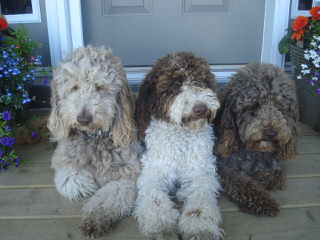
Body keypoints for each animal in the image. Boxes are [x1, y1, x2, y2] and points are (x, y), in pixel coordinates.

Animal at [47, 45, 141, 238]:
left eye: (100, 87)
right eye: (74, 87)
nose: (83, 118)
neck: (95, 139)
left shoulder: (128, 174)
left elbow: (108, 198)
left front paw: (94, 219)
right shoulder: (63, 158)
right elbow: (71, 180)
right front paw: (89, 183)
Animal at [134, 52, 222, 240]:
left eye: (200, 80)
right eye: (173, 85)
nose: (200, 108)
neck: (182, 137)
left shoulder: (201, 173)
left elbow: (200, 201)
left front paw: (199, 228)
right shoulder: (154, 171)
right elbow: (155, 198)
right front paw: (160, 225)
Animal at [214, 62, 298, 217]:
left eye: (279, 106)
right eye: (254, 105)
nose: (270, 133)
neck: (255, 152)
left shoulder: (276, 163)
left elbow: (278, 173)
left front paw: (264, 179)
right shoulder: (223, 167)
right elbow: (244, 183)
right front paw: (264, 202)